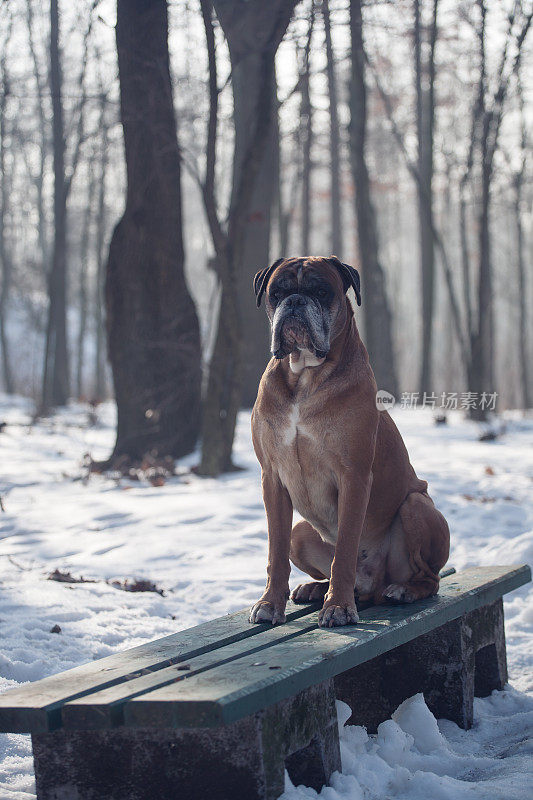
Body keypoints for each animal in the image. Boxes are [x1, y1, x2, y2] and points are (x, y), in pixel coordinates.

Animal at [249, 253, 448, 628]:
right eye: (276, 293)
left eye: (321, 292)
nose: (294, 302)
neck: (304, 377)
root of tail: (373, 585)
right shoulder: (273, 479)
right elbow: (275, 551)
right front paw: (270, 602)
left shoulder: (353, 477)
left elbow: (344, 549)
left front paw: (338, 607)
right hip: (301, 532)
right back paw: (315, 589)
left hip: (416, 506)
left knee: (429, 577)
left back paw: (402, 590)